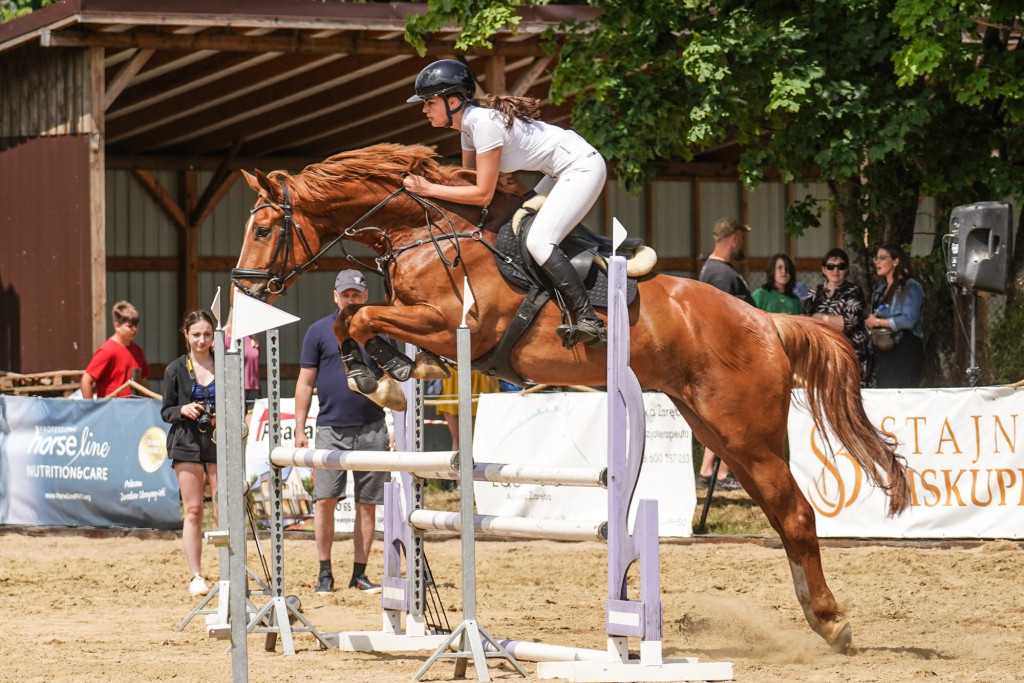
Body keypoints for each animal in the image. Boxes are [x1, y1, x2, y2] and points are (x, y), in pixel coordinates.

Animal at [234, 143, 913, 651]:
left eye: (265, 227)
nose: (247, 288)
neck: (424, 234)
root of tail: (767, 322)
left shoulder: (456, 323)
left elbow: (360, 316)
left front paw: (376, 375)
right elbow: (357, 321)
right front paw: (391, 372)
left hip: (744, 430)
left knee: (795, 513)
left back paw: (832, 622)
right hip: (724, 433)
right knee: (782, 514)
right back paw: (817, 616)